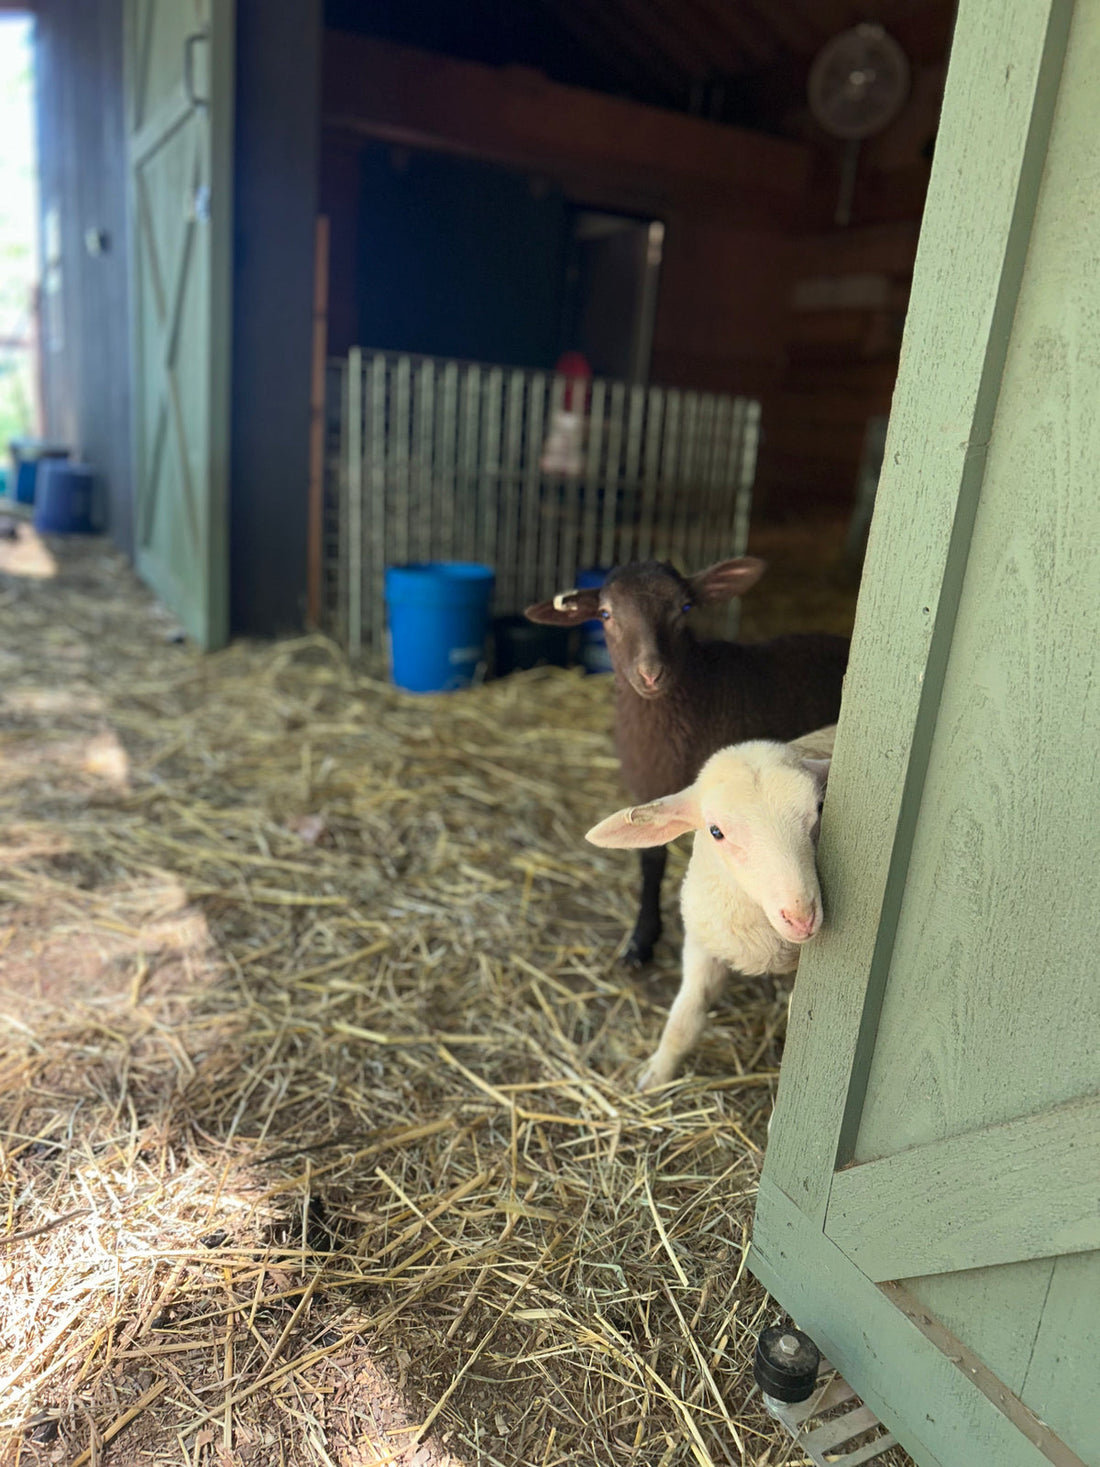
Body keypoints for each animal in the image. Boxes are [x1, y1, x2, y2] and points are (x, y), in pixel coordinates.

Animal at [525, 558, 848, 966]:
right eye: (605, 614)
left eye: (685, 607)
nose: (650, 673)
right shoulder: (649, 790)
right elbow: (650, 862)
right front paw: (641, 939)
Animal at [586, 730, 834, 1090]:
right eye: (716, 831)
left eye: (820, 808)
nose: (801, 916)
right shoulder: (703, 944)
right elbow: (683, 1020)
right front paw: (654, 1077)